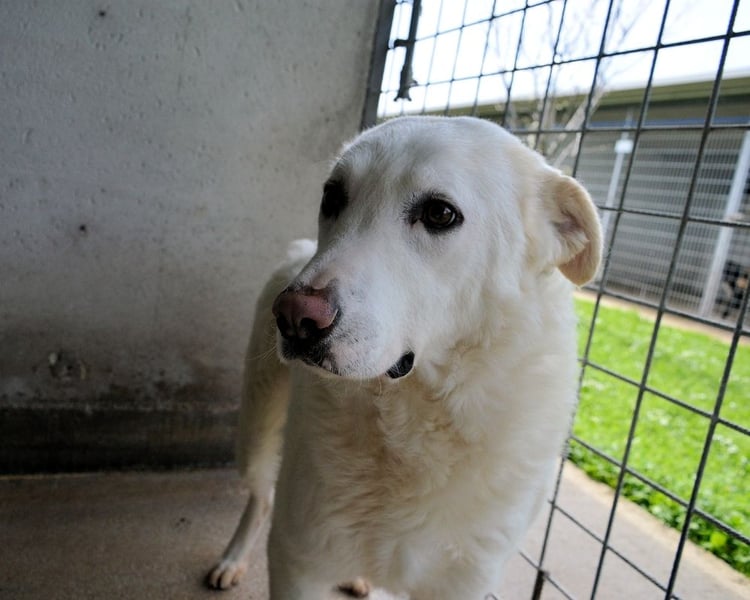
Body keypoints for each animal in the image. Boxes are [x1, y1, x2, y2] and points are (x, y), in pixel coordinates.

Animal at [206, 116, 602, 599]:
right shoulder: (299, 563)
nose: (294, 317)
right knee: (260, 496)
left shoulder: (464, 583)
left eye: (440, 214)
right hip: (256, 432)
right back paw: (233, 558)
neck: (421, 414)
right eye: (332, 197)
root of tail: (299, 250)